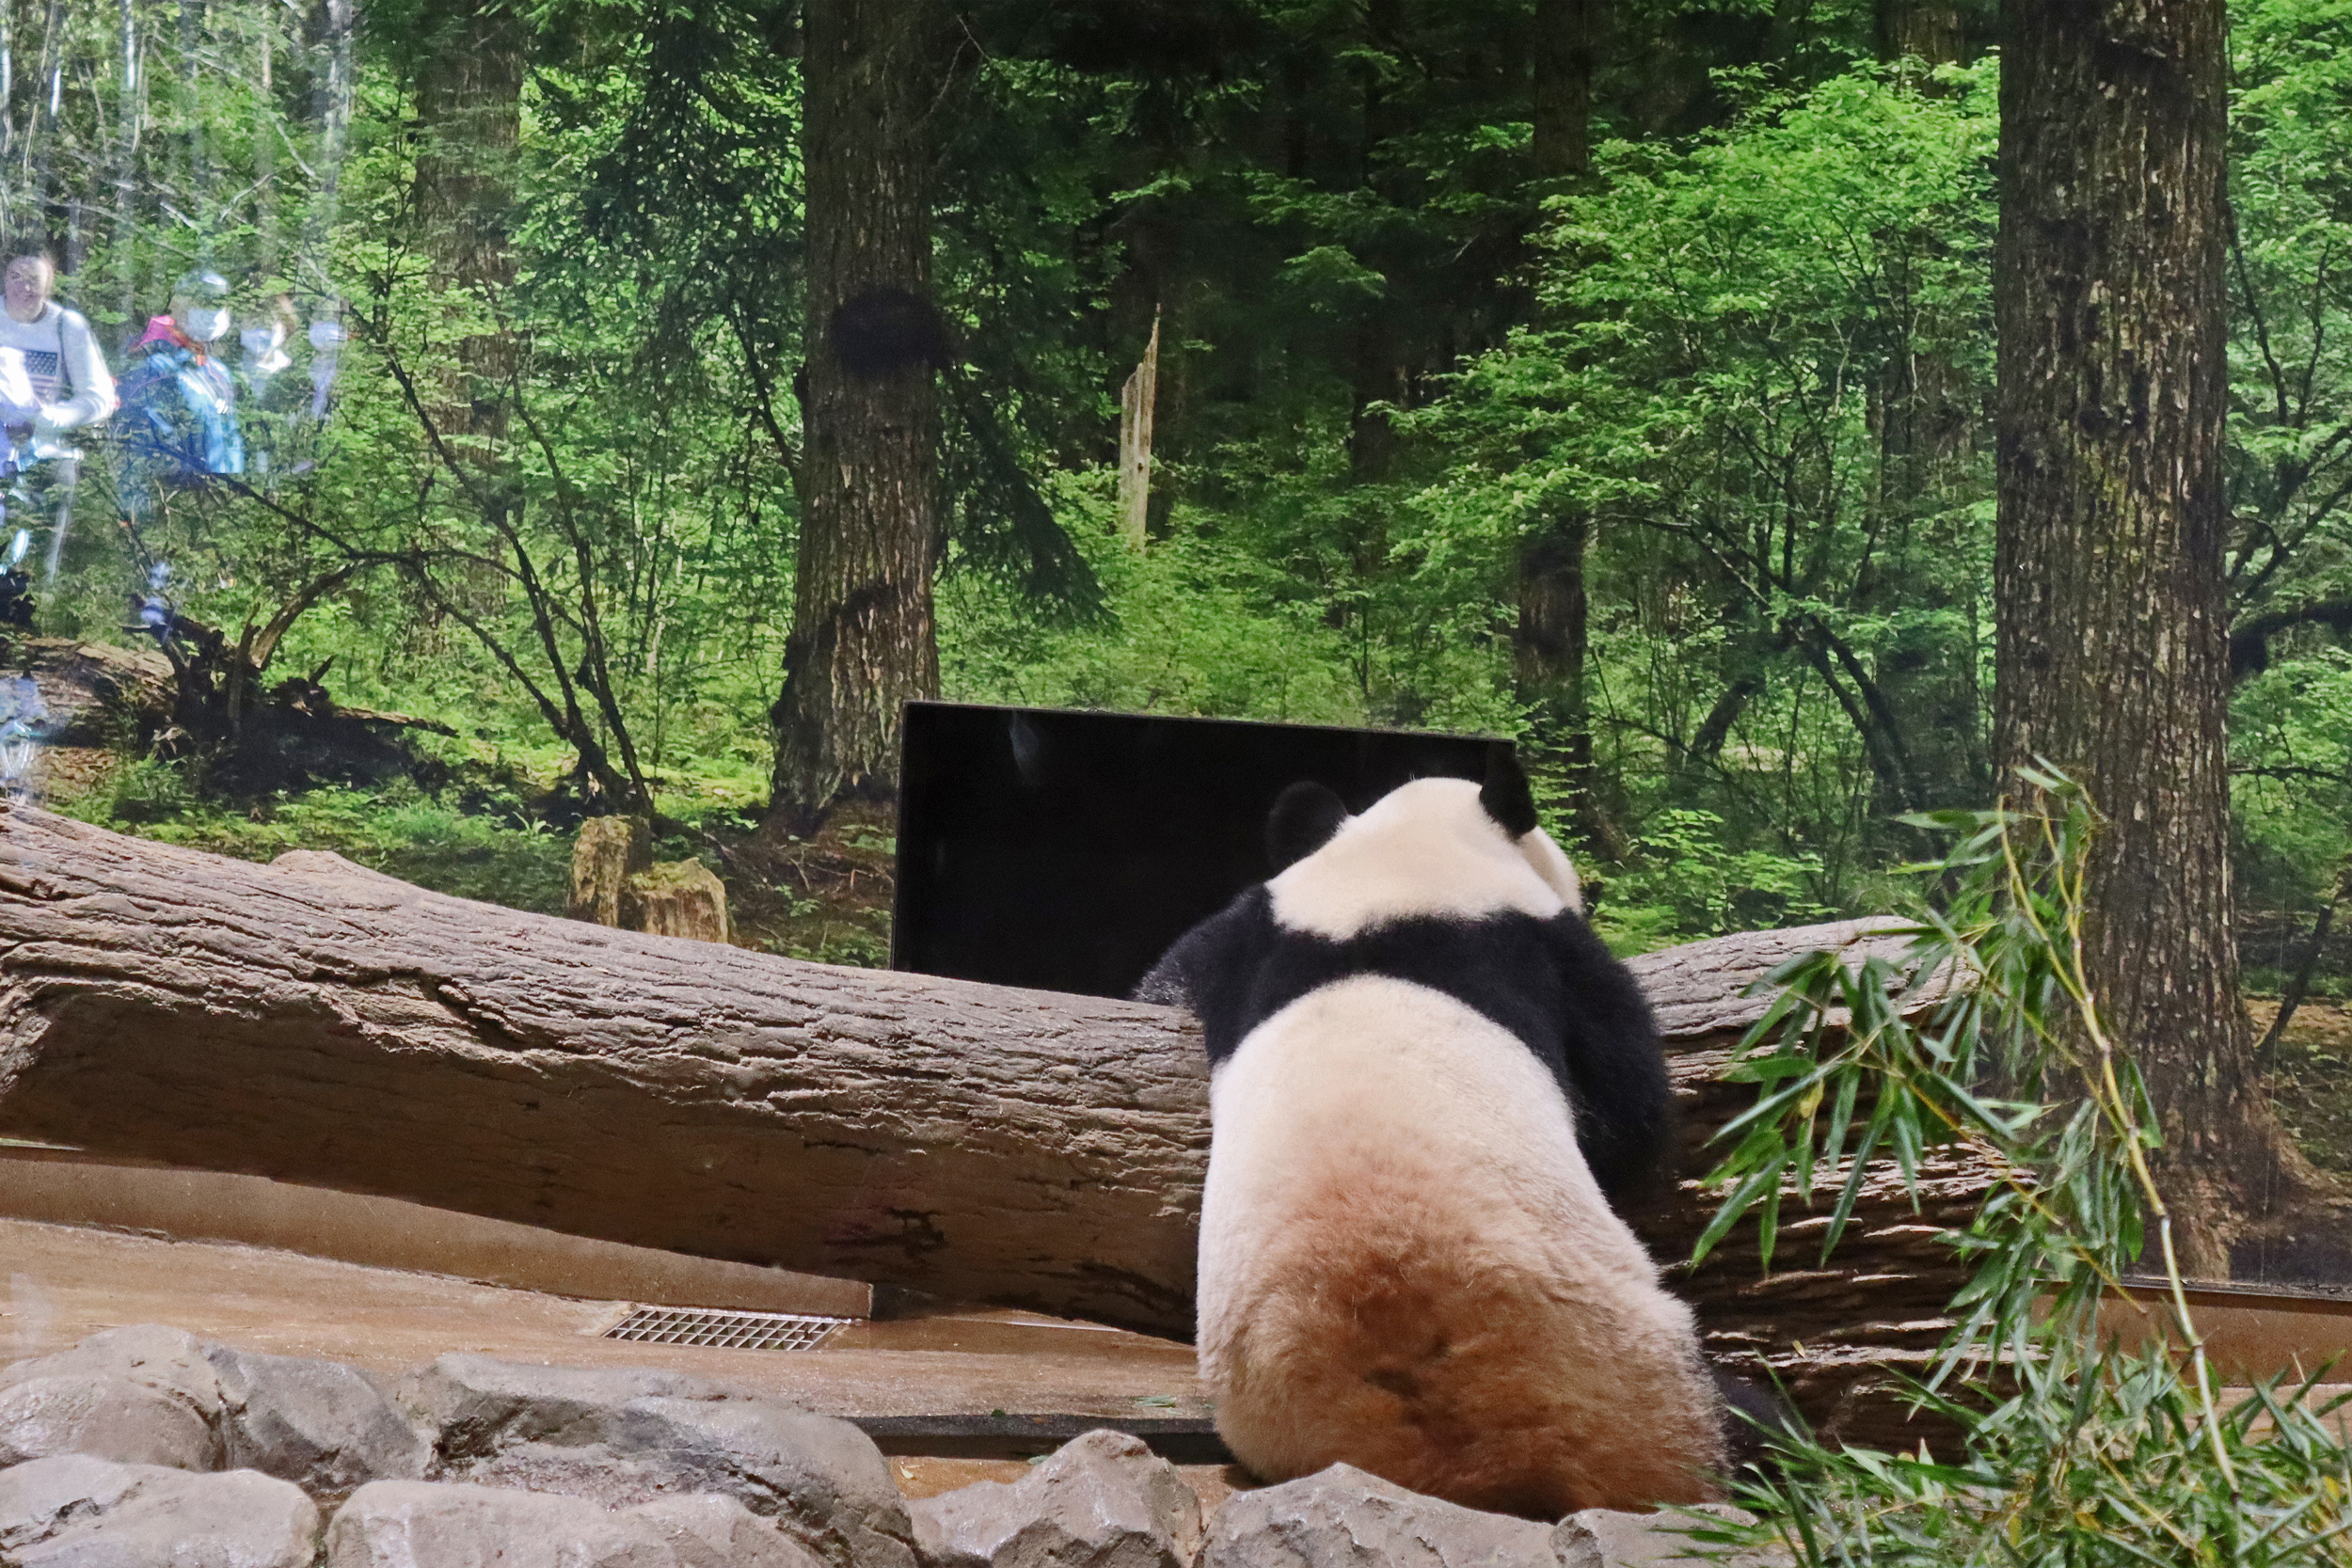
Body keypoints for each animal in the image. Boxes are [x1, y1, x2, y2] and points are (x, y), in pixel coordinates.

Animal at [1135, 745, 1726, 1518]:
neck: (1394, 864)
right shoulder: (1544, 948)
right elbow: (1629, 1111)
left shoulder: (1249, 931)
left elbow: (1165, 974)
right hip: (1631, 1373)